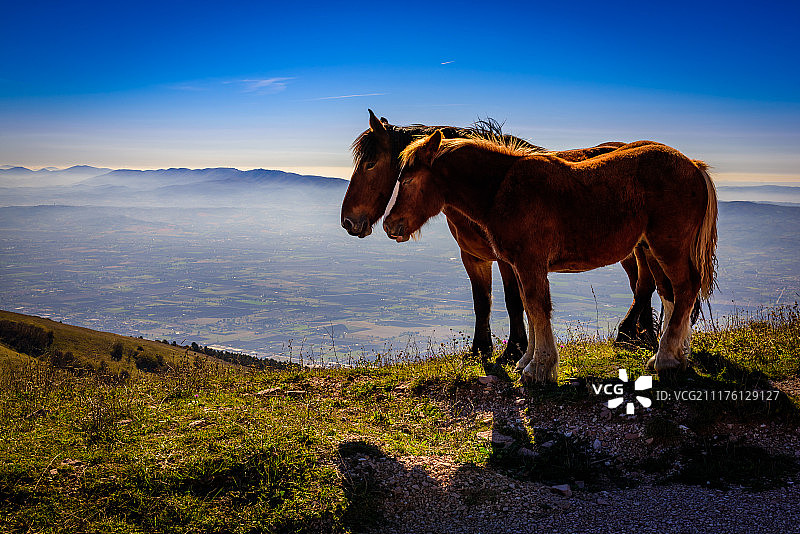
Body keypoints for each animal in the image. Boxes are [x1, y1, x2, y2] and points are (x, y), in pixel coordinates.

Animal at [341, 111, 657, 363]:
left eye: (370, 164)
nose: (348, 221)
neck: (489, 189)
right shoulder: (473, 257)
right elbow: (482, 300)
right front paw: (480, 349)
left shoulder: (509, 259)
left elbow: (513, 299)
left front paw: (515, 349)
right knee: (642, 284)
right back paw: (644, 336)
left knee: (644, 285)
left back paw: (633, 334)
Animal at [383, 131, 717, 383]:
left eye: (409, 180)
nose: (390, 225)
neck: (501, 188)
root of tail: (693, 165)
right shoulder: (519, 265)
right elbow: (527, 308)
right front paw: (526, 361)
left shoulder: (530, 263)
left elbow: (536, 306)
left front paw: (538, 369)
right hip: (650, 249)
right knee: (669, 294)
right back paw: (673, 355)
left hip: (668, 247)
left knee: (684, 289)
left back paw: (666, 360)